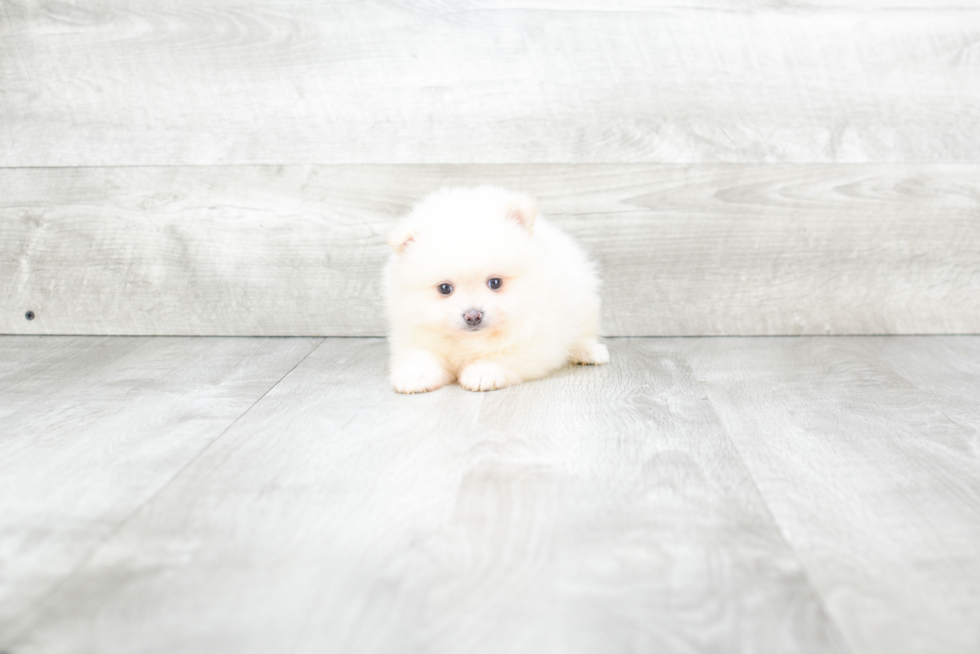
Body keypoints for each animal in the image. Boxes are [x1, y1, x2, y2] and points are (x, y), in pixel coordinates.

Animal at [380, 184, 604, 394]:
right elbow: (419, 354)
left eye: (495, 283)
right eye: (444, 288)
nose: (473, 315)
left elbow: (502, 356)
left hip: (585, 305)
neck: (472, 340)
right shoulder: (414, 334)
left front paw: (482, 373)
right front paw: (415, 376)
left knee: (583, 334)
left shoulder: (535, 341)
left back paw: (589, 352)